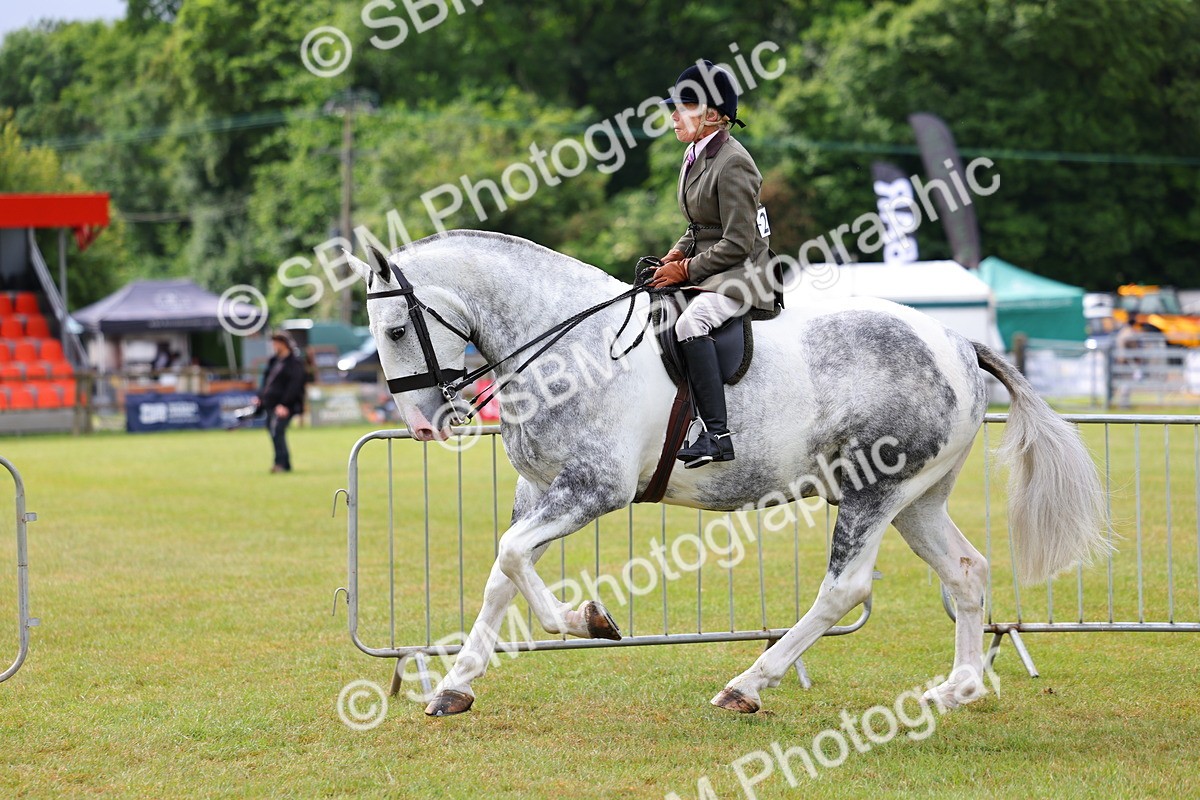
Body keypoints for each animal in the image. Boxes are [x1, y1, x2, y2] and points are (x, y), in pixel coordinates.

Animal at [344, 230, 1108, 717]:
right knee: (967, 572)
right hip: (918, 500)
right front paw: (456, 686)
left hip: (874, 492)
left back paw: (748, 685)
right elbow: (502, 573)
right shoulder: (538, 491)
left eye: (397, 330)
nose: (422, 425)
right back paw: (957, 690)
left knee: (844, 589)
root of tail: (959, 341)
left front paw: (587, 619)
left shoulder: (594, 490)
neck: (570, 345)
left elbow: (511, 559)